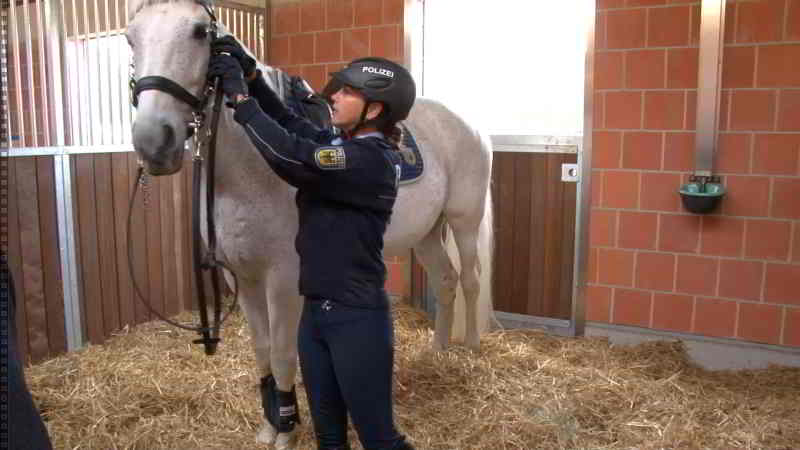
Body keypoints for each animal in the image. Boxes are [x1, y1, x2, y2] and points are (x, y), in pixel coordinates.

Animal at [127, 0, 494, 446]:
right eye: (131, 38)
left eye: (199, 31)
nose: (153, 143)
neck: (247, 173)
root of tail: (467, 123)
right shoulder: (243, 278)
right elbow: (262, 350)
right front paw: (270, 423)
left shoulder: (283, 281)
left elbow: (284, 353)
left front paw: (286, 428)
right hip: (426, 233)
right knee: (445, 280)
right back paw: (439, 351)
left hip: (464, 220)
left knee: (471, 279)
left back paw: (470, 350)